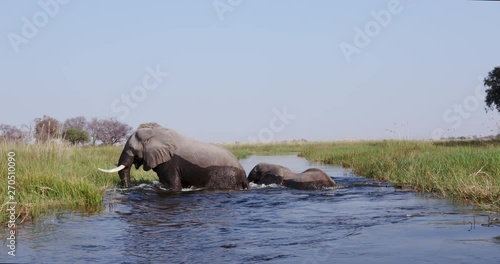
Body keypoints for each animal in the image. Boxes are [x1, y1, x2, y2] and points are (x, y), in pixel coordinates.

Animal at [99, 122, 250, 191]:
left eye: (130, 148)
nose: (127, 187)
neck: (155, 133)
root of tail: (243, 173)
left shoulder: (170, 163)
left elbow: (172, 186)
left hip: (223, 175)